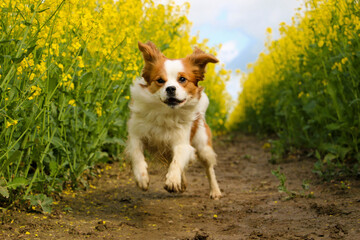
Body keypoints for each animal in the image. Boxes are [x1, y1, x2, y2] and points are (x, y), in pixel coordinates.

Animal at [126, 40, 222, 199]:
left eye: (182, 79)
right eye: (160, 80)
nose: (170, 88)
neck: (165, 112)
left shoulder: (182, 143)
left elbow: (177, 161)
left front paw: (172, 180)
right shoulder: (136, 134)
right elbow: (136, 154)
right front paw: (142, 177)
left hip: (203, 147)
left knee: (209, 169)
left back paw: (215, 191)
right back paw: (182, 184)